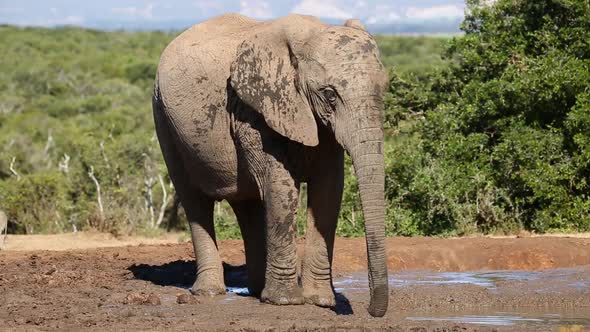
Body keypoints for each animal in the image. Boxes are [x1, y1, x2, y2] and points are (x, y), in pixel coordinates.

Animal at [153, 14, 390, 318]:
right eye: (330, 95)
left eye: (383, 89)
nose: (371, 309)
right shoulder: (255, 107)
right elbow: (281, 186)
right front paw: (286, 301)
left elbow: (328, 189)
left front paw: (320, 301)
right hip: (163, 118)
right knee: (194, 201)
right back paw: (210, 292)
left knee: (247, 204)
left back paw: (256, 290)